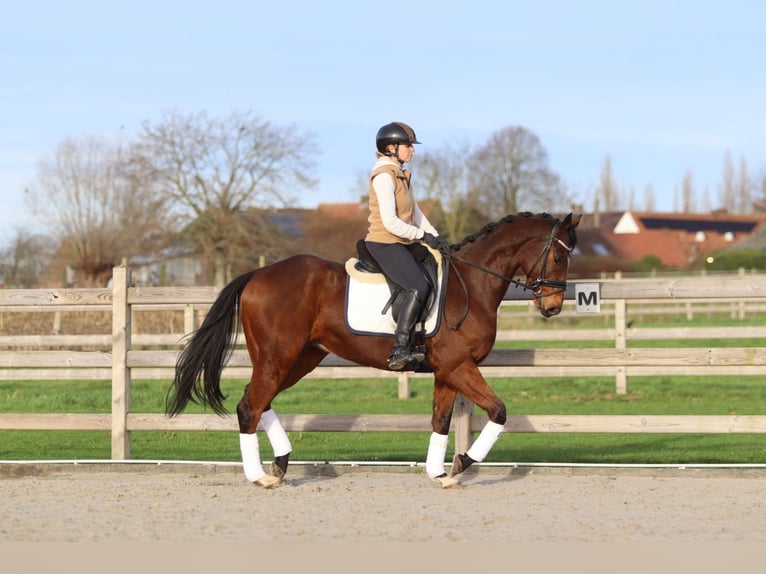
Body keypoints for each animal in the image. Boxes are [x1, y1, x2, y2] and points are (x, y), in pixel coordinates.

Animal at [166, 211, 581, 488]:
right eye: (560, 256)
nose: (553, 307)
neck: (472, 283)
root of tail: (257, 274)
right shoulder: (458, 366)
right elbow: (498, 411)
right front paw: (463, 463)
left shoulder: (447, 371)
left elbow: (441, 421)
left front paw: (439, 473)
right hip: (278, 357)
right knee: (250, 406)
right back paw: (260, 476)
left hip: (298, 358)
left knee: (259, 401)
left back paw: (281, 463)